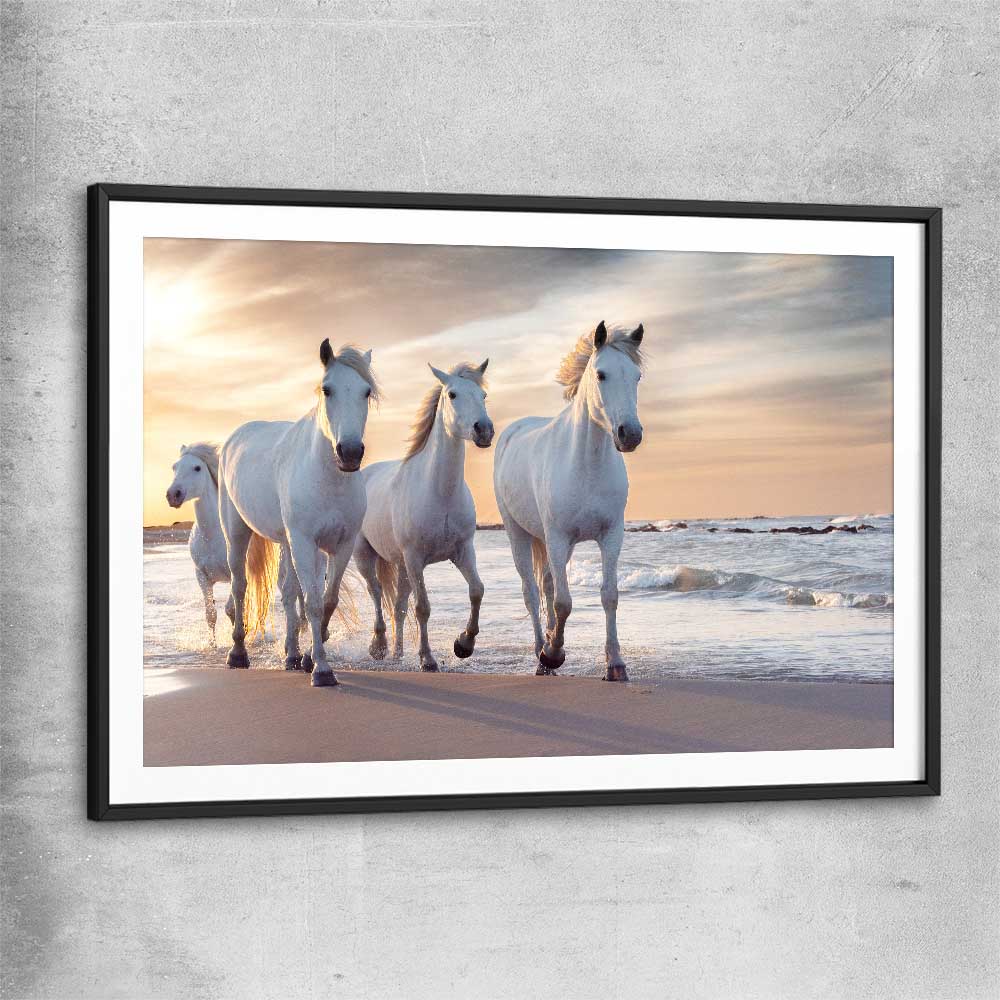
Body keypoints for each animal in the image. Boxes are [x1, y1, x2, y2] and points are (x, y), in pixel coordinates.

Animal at [218, 340, 378, 687]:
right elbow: (314, 603)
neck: (328, 478)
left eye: (366, 391)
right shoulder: (305, 542)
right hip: (237, 532)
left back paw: (291, 655)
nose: (349, 453)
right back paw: (237, 653)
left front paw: (308, 657)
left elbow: (325, 600)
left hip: (286, 542)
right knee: (239, 586)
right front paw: (322, 670)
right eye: (327, 390)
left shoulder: (340, 545)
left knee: (290, 592)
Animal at [353, 359, 493, 672]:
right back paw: (379, 646)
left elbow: (477, 590)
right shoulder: (415, 557)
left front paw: (464, 644)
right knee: (376, 593)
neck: (439, 492)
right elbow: (423, 608)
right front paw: (427, 659)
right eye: (452, 394)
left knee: (398, 606)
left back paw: (397, 653)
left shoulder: (463, 551)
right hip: (366, 556)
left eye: (483, 395)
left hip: (402, 566)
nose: (484, 430)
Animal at [493, 321, 645, 682]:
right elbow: (563, 602)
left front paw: (615, 664)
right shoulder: (558, 538)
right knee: (532, 593)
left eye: (637, 376)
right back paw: (541, 653)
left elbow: (609, 595)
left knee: (547, 586)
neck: (586, 464)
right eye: (601, 374)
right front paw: (552, 654)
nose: (630, 434)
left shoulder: (611, 536)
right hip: (519, 534)